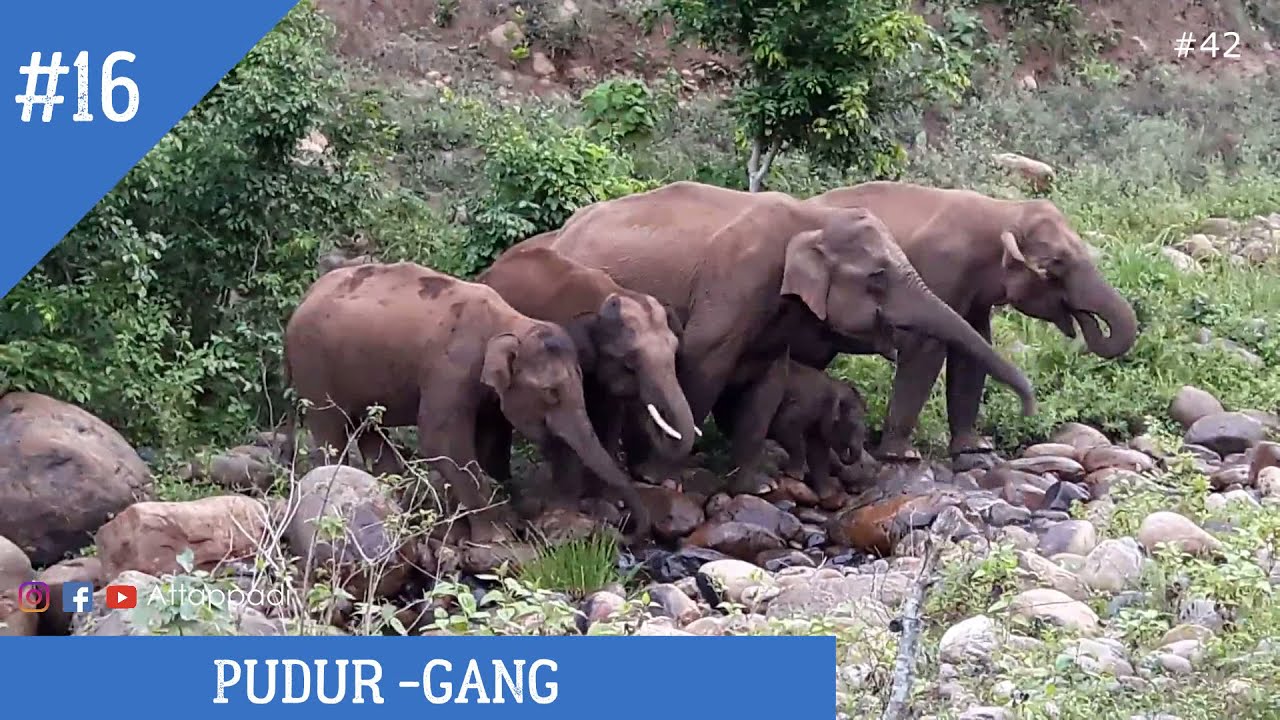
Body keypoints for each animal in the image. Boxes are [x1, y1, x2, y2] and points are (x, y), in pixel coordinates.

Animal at [282, 261, 651, 544]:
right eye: (551, 394)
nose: (625, 528)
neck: (510, 322)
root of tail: (304, 298)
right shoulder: (450, 369)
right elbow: (441, 441)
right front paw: (495, 536)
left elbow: (482, 439)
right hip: (312, 364)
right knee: (330, 429)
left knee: (368, 430)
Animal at [474, 243, 699, 506]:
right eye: (630, 361)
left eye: (675, 349)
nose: (668, 483)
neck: (609, 294)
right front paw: (572, 499)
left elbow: (608, 419)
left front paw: (605, 497)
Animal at [539, 180, 1037, 487]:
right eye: (877, 278)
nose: (1029, 409)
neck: (811, 217)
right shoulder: (737, 281)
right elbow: (702, 363)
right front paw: (664, 478)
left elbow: (768, 381)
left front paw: (754, 485)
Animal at [806, 181, 1138, 467]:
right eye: (1056, 265)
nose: (1081, 326)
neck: (1004, 212)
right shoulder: (941, 267)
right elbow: (926, 348)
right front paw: (902, 455)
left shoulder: (975, 296)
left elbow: (973, 350)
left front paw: (974, 448)